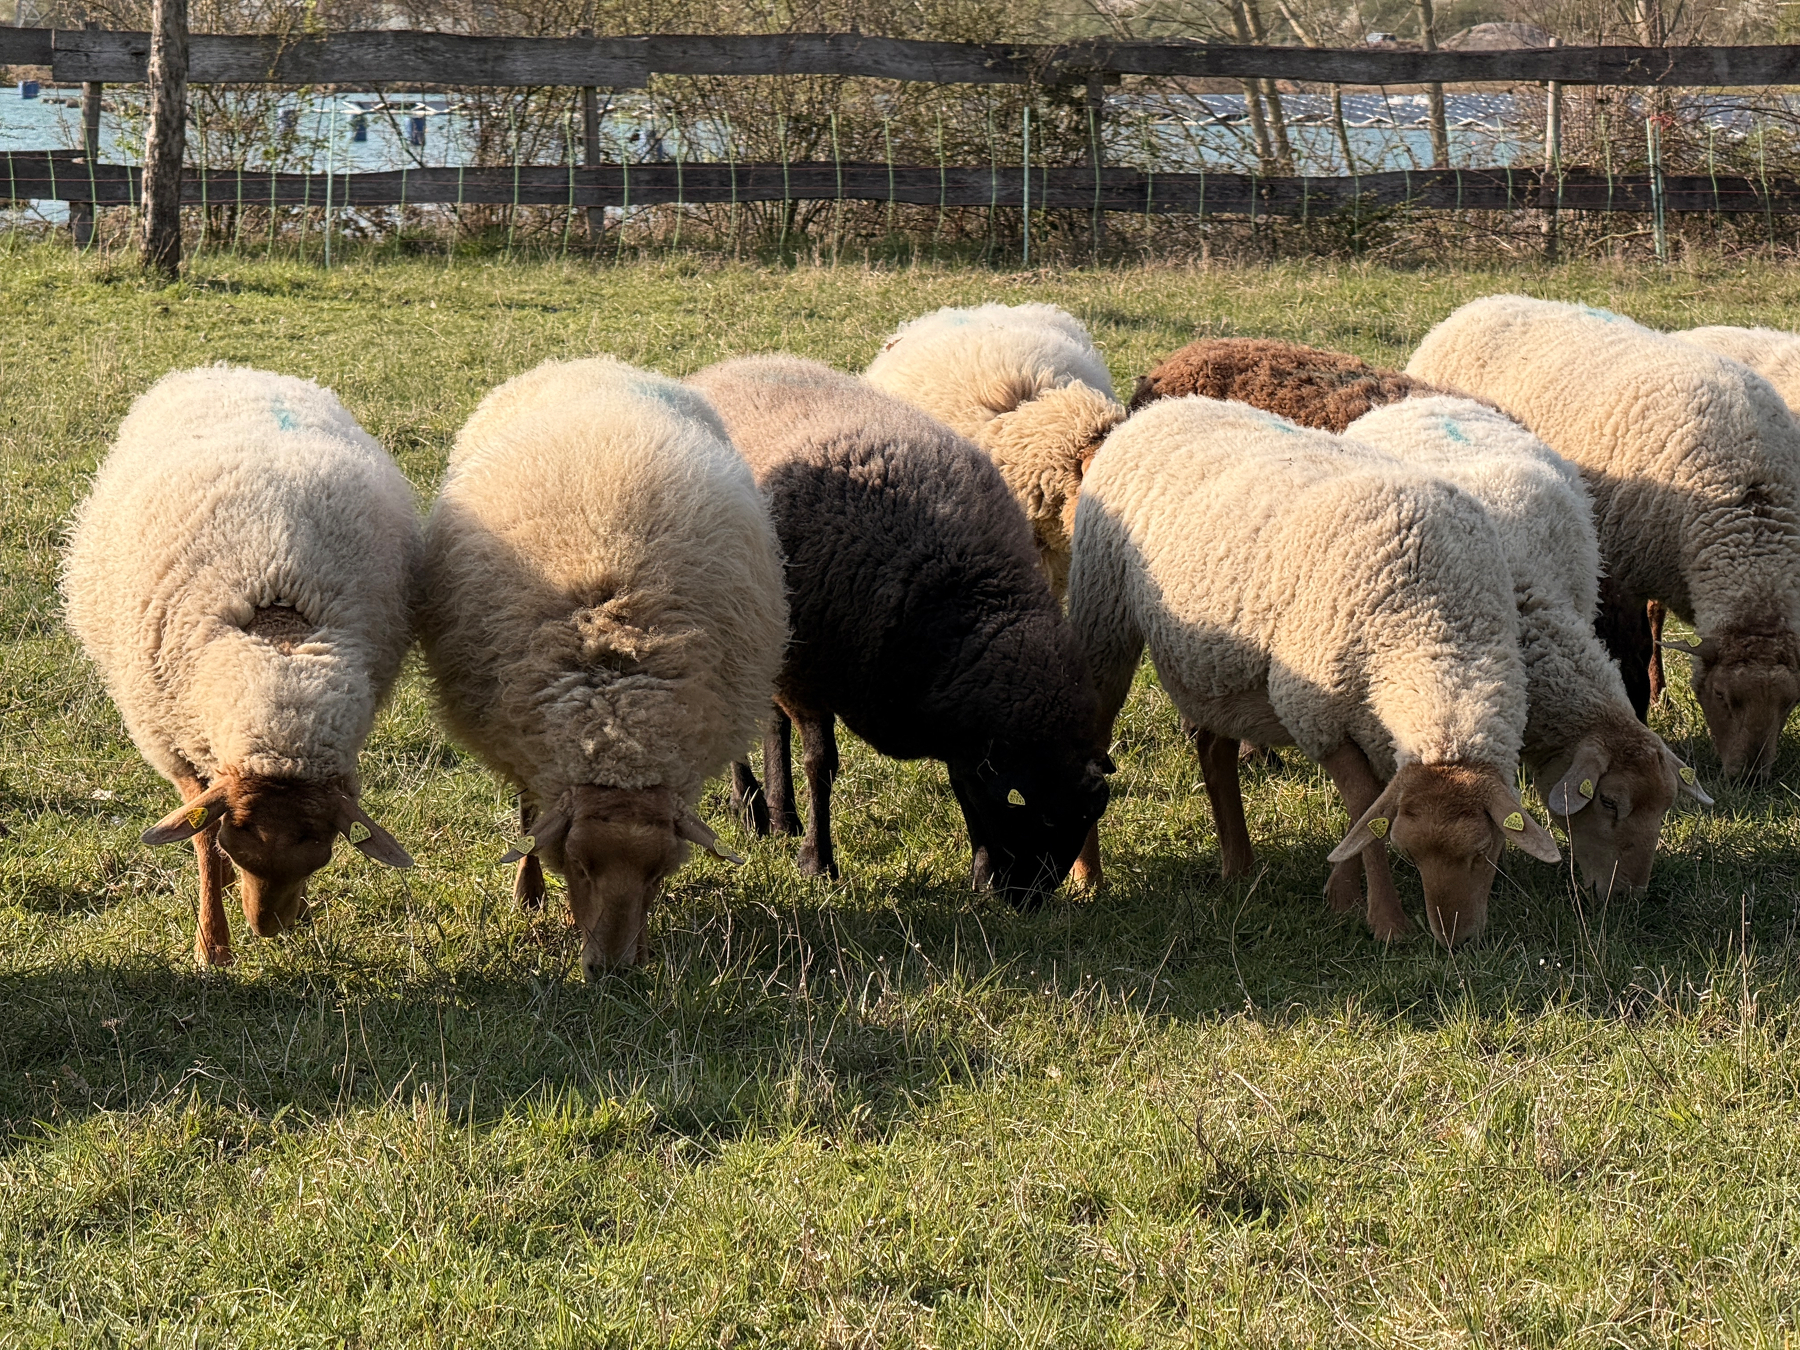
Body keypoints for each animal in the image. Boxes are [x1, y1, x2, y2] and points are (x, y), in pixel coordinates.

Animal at [63, 365, 420, 968]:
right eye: (239, 843)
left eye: (322, 855)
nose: (268, 930)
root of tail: (235, 370)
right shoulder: (176, 744)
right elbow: (202, 841)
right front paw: (213, 944)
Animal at [417, 356, 788, 976]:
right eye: (581, 866)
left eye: (659, 874)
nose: (612, 971)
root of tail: (586, 361)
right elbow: (530, 824)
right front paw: (530, 892)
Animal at [686, 355, 1113, 901]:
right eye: (1038, 814)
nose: (1026, 902)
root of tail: (725, 368)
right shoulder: (811, 678)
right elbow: (821, 766)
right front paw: (818, 863)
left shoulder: (960, 733)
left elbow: (962, 784)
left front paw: (980, 872)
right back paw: (752, 807)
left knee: (770, 720)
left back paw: (781, 817)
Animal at [1067, 395, 1560, 947]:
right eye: (1410, 855)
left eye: (1485, 852)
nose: (1454, 942)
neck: (1434, 624)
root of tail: (1160, 407)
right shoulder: (1316, 715)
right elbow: (1365, 809)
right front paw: (1385, 920)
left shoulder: (1370, 721)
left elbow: (1366, 812)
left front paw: (1340, 897)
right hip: (1105, 615)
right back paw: (1088, 878)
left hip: (1220, 667)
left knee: (1214, 749)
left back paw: (1238, 867)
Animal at [1408, 296, 1800, 779]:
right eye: (1723, 697)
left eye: (1790, 704)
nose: (1749, 780)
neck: (1750, 502)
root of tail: (1484, 301)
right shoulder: (1618, 575)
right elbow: (1633, 655)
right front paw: (1642, 721)